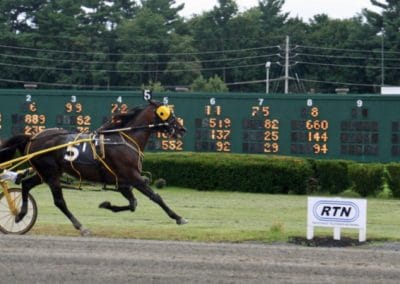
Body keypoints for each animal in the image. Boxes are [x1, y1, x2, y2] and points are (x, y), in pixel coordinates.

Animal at [0, 99, 188, 235]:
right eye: (166, 113)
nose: (182, 129)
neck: (125, 139)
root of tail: (32, 137)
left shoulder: (123, 182)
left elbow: (133, 204)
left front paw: (106, 205)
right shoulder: (134, 177)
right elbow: (156, 197)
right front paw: (179, 217)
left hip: (44, 173)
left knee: (26, 184)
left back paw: (20, 213)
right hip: (51, 173)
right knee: (59, 201)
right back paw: (81, 226)